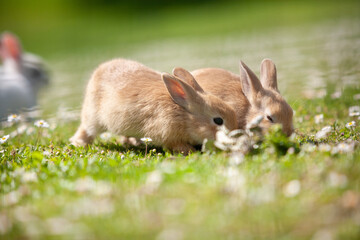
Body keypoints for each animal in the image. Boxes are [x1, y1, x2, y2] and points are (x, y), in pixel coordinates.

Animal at [71, 58, 239, 154]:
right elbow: (174, 144)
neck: (185, 116)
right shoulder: (167, 133)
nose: (236, 137)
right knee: (86, 130)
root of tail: (99, 71)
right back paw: (78, 143)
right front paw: (189, 150)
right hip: (93, 117)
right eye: (218, 120)